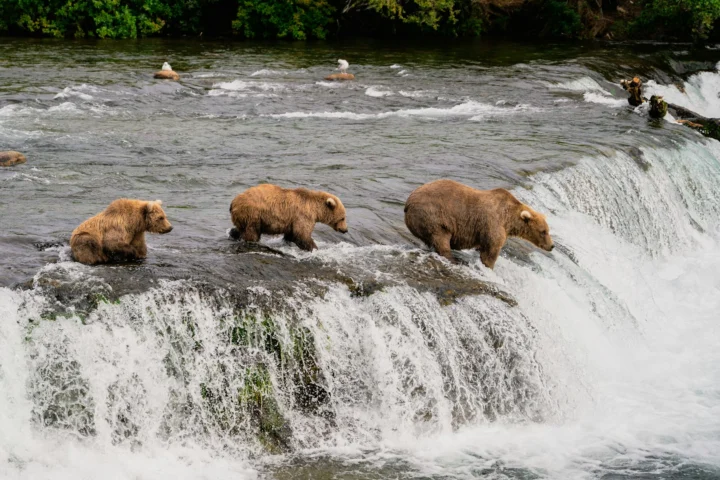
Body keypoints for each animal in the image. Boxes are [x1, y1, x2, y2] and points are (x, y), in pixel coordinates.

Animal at [404, 179, 553, 269]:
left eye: (547, 230)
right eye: (543, 231)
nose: (552, 246)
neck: (509, 219)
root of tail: (408, 203)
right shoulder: (493, 223)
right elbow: (491, 251)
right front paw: (489, 266)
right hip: (433, 216)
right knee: (441, 238)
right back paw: (454, 259)